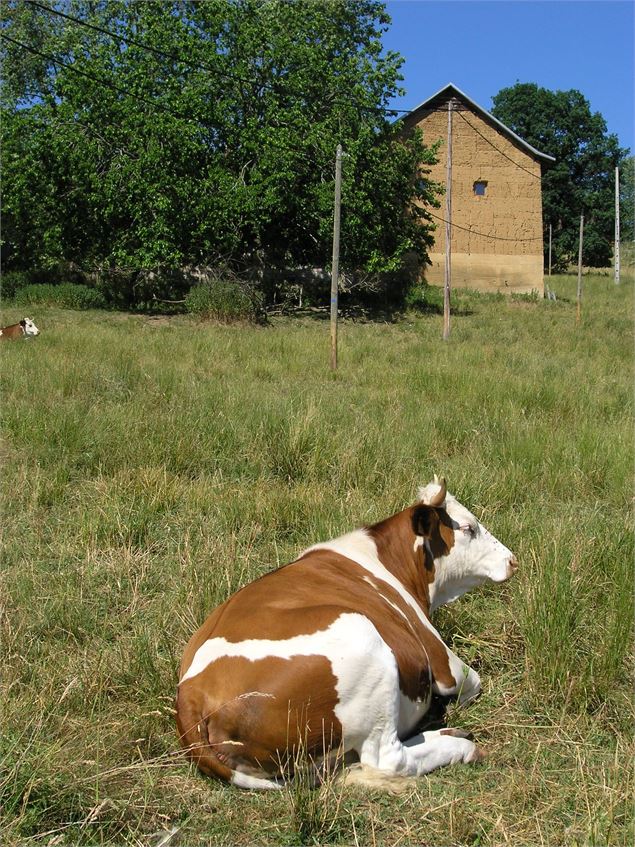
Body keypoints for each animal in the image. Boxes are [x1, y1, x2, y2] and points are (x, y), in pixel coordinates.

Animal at [176, 480, 520, 792]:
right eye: (468, 528)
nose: (512, 560)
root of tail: (191, 694)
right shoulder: (442, 660)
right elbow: (471, 682)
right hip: (364, 639)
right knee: (389, 759)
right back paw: (458, 745)